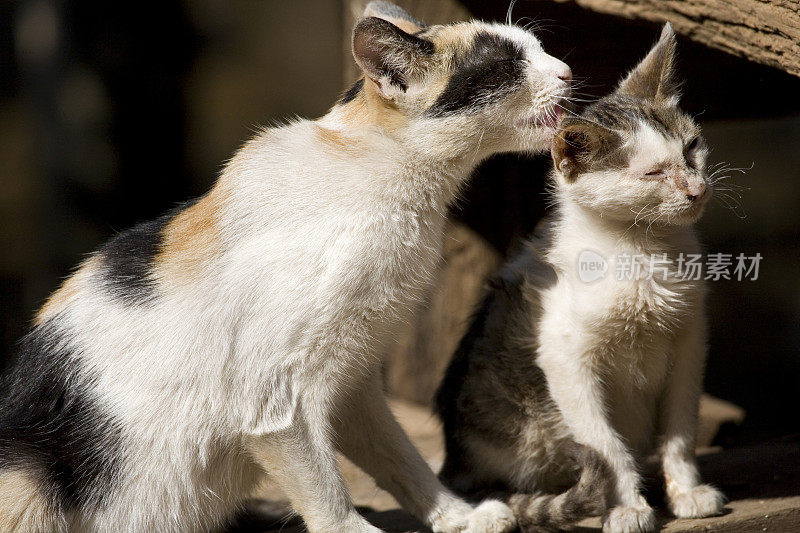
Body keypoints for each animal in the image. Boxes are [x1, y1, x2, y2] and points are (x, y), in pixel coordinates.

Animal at [0, 1, 576, 532]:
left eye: (538, 48)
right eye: (505, 65)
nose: (568, 71)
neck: (389, 181)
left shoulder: (351, 382)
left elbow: (401, 457)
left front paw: (458, 515)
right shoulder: (277, 401)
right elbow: (327, 493)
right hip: (26, 481)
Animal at [438, 26, 724, 532]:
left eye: (691, 147)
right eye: (652, 172)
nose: (697, 190)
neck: (641, 250)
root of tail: (455, 466)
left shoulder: (691, 339)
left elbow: (681, 426)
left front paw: (686, 490)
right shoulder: (565, 358)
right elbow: (605, 445)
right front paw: (627, 506)